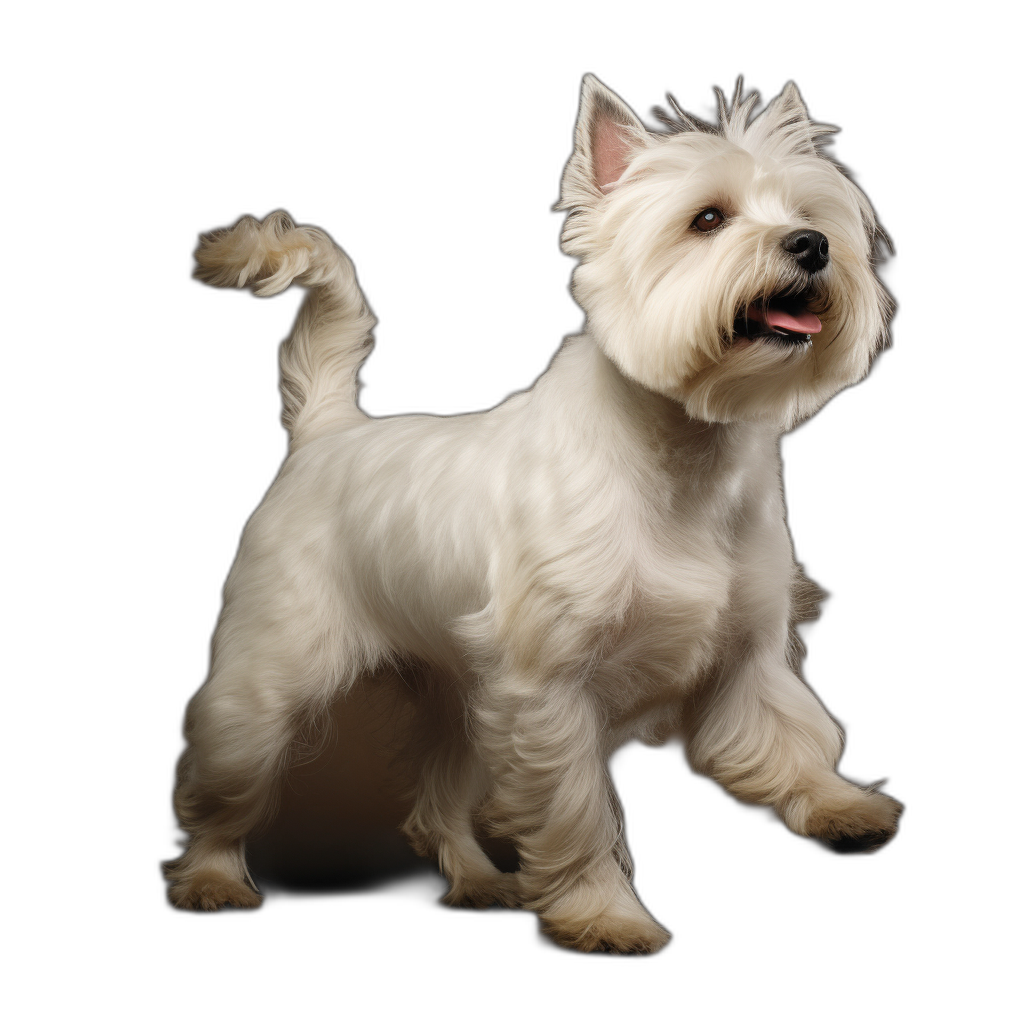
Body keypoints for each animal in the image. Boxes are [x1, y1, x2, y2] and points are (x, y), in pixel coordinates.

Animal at [167, 75, 905, 954]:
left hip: (457, 692)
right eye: (708, 219)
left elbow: (788, 728)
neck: (686, 453)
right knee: (225, 774)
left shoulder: (745, 650)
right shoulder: (550, 688)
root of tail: (330, 431)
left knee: (436, 800)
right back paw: (212, 879)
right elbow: (574, 812)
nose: (810, 246)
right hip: (275, 672)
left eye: (810, 213)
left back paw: (480, 882)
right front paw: (605, 916)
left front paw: (840, 806)